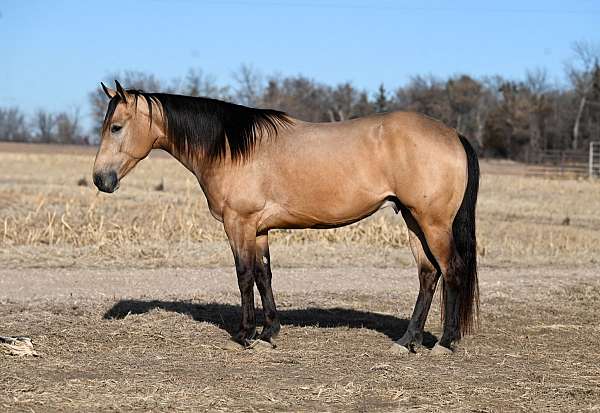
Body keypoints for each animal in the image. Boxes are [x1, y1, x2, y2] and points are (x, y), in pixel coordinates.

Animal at [92, 81, 478, 354]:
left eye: (116, 127)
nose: (100, 179)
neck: (232, 147)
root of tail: (453, 134)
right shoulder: (259, 228)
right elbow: (264, 276)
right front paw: (269, 332)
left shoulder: (239, 223)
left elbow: (244, 275)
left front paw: (246, 334)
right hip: (413, 220)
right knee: (428, 275)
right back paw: (407, 340)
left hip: (432, 223)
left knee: (452, 270)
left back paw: (446, 342)